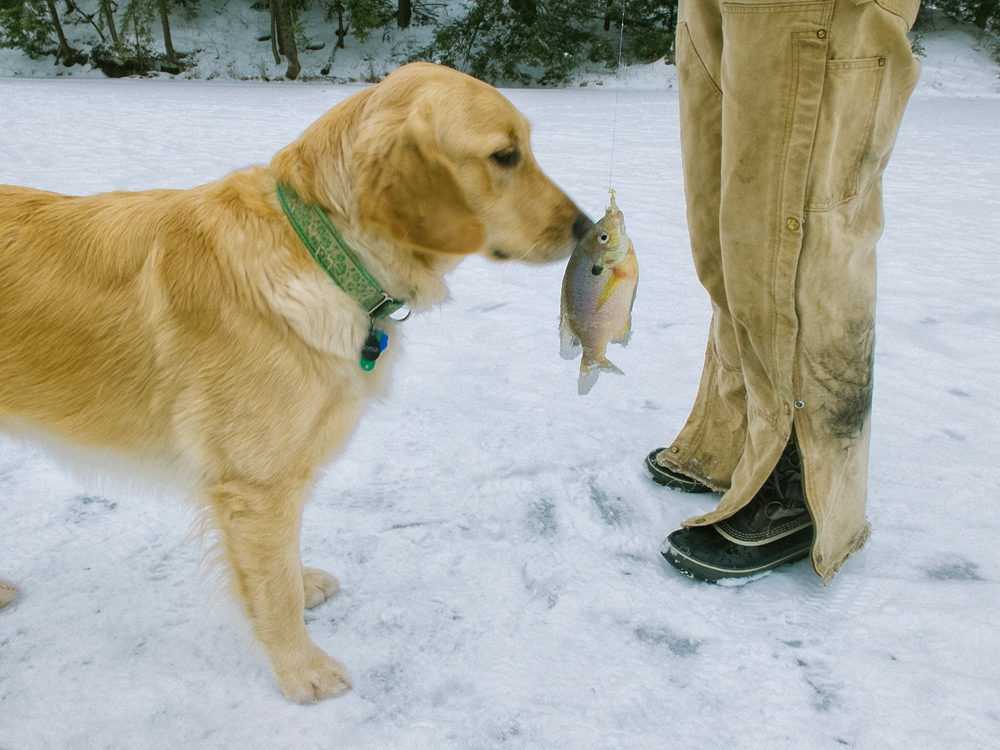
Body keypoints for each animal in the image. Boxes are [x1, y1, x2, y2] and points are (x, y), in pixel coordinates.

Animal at [0, 63, 588, 704]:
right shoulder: (255, 483)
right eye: (505, 156)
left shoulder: (284, 473)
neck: (324, 253)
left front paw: (301, 584)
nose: (588, 228)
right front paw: (301, 669)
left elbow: (283, 560)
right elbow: (273, 590)